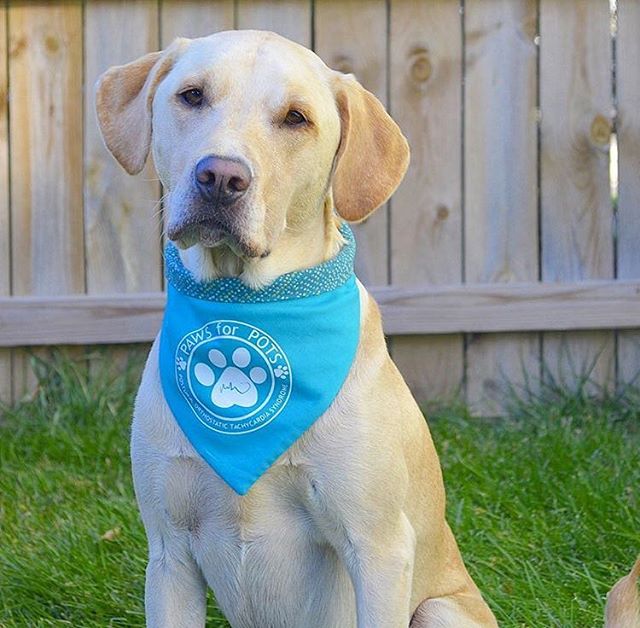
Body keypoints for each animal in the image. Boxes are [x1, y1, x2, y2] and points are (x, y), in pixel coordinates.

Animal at [96, 31, 500, 628]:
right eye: (192, 96)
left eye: (295, 118)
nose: (221, 177)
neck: (248, 304)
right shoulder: (169, 553)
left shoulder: (378, 548)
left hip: (439, 609)